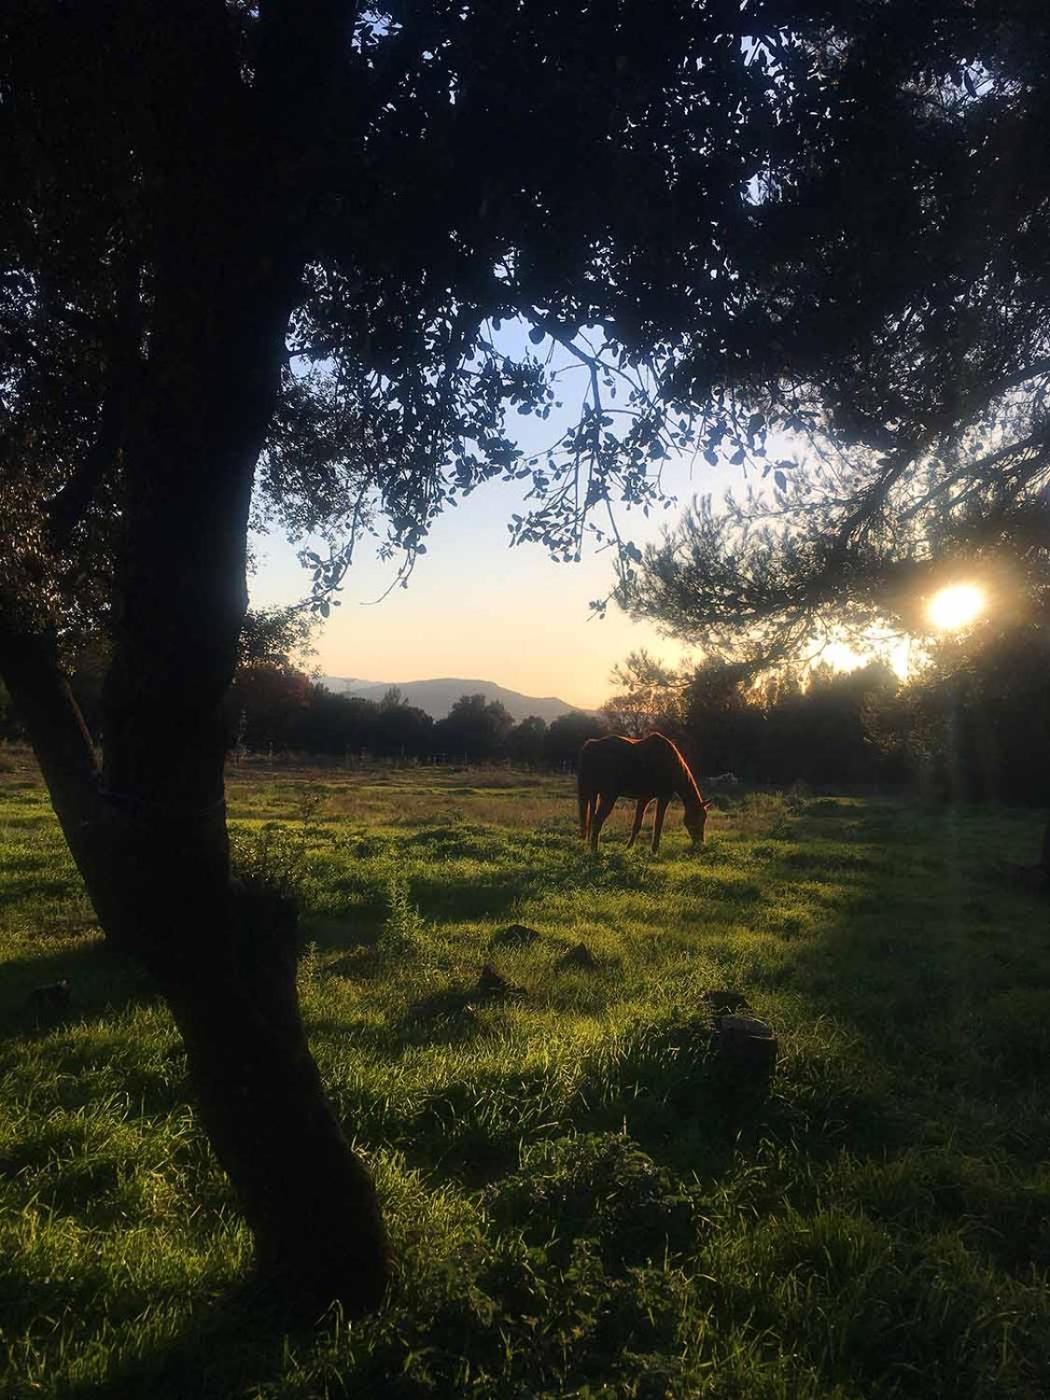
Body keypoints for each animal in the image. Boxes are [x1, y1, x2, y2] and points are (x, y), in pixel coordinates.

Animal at [576, 733, 716, 851]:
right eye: (699, 818)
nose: (700, 843)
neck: (671, 765)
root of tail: (591, 745)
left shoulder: (644, 798)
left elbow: (637, 824)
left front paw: (628, 848)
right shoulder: (664, 797)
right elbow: (658, 823)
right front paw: (654, 850)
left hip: (594, 794)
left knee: (590, 819)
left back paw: (588, 846)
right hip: (608, 796)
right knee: (597, 820)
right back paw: (594, 850)